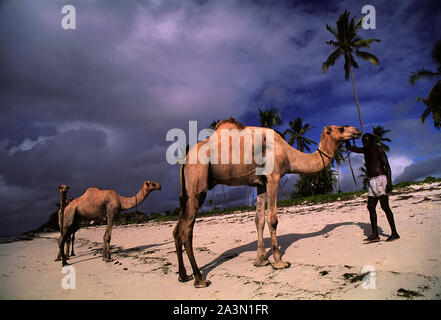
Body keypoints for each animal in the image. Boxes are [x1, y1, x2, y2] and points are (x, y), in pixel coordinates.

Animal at [172, 117, 358, 288]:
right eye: (341, 128)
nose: (356, 130)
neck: (288, 153)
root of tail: (185, 161)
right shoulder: (273, 176)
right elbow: (272, 219)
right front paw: (279, 262)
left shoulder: (260, 184)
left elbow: (259, 220)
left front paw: (261, 260)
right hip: (197, 180)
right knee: (186, 231)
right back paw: (199, 279)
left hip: (185, 191)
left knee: (176, 230)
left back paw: (183, 276)